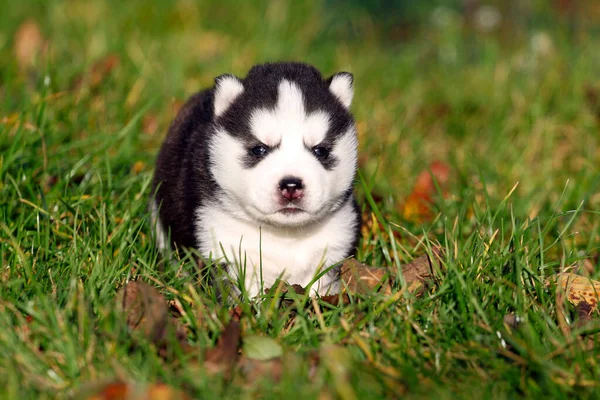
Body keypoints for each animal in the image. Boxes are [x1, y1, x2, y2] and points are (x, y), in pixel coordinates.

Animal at [152, 61, 360, 296]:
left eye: (321, 151)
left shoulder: (334, 245)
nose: (291, 185)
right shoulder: (223, 246)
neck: (285, 237)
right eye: (259, 149)